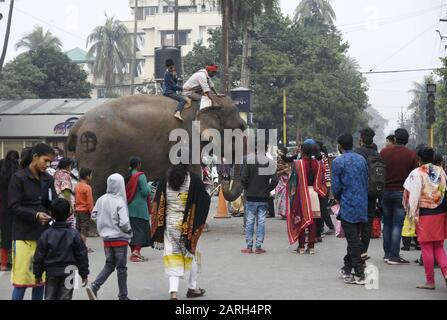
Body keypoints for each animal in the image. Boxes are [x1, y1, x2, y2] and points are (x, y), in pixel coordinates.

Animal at [68, 94, 247, 201]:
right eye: (241, 127)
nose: (224, 177)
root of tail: (78, 123)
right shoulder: (186, 139)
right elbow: (193, 171)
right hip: (95, 150)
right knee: (95, 182)